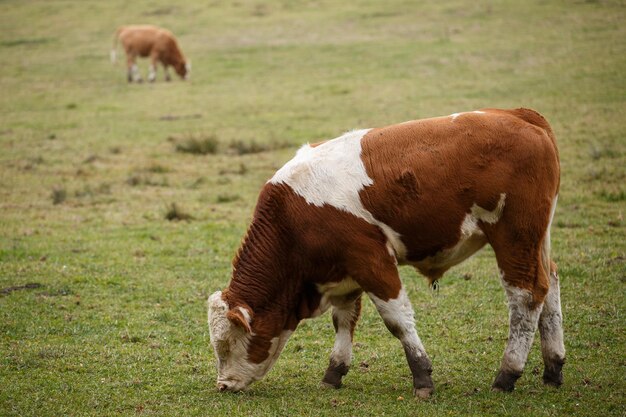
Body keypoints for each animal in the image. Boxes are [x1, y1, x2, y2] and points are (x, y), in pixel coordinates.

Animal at [207, 107, 564, 396]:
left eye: (227, 343)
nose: (223, 385)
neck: (291, 216)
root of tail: (521, 116)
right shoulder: (344, 271)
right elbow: (344, 320)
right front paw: (334, 372)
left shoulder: (372, 261)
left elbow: (397, 321)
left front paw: (422, 377)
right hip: (537, 238)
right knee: (550, 287)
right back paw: (553, 369)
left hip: (514, 236)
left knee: (526, 295)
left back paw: (507, 374)